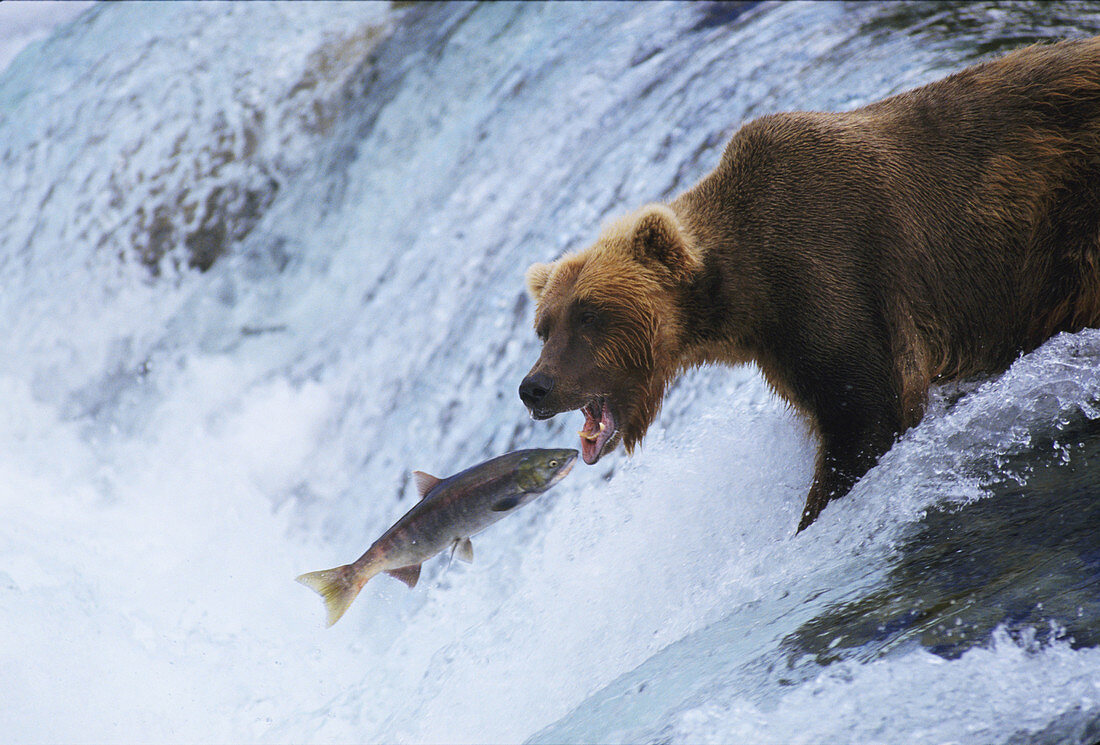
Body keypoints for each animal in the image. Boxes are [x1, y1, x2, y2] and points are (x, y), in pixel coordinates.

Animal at [519, 37, 1100, 532]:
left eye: (590, 314)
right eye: (544, 326)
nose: (534, 387)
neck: (746, 292)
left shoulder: (832, 272)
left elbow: (866, 413)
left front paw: (810, 520)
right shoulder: (784, 342)